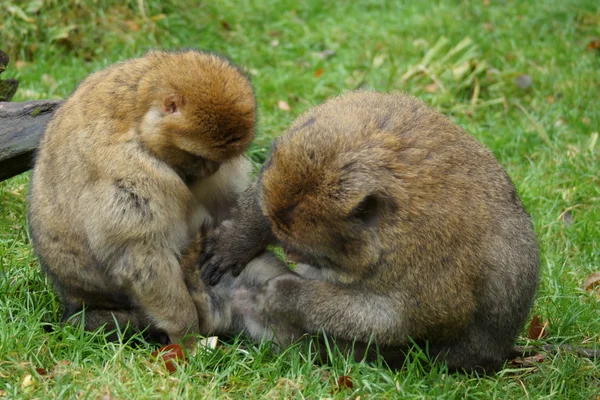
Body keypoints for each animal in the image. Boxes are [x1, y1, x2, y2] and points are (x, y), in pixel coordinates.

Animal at [27, 50, 255, 344]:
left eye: (218, 160)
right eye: (198, 156)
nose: (211, 170)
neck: (137, 117)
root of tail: (74, 297)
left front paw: (238, 243)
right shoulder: (130, 170)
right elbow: (142, 256)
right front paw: (187, 335)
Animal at [200, 90, 540, 372]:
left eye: (313, 253)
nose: (291, 254)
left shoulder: (424, 256)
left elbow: (403, 319)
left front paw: (285, 296)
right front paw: (237, 242)